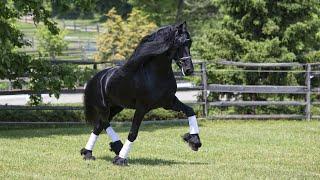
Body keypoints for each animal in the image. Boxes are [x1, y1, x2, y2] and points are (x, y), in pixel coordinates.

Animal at [80, 21, 200, 165]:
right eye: (178, 44)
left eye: (189, 42)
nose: (188, 70)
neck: (156, 75)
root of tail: (97, 78)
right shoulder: (142, 107)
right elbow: (133, 133)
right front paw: (121, 159)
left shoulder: (169, 103)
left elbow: (190, 111)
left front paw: (194, 141)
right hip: (103, 107)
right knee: (103, 123)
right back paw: (116, 147)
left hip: (116, 107)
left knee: (99, 126)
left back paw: (89, 153)